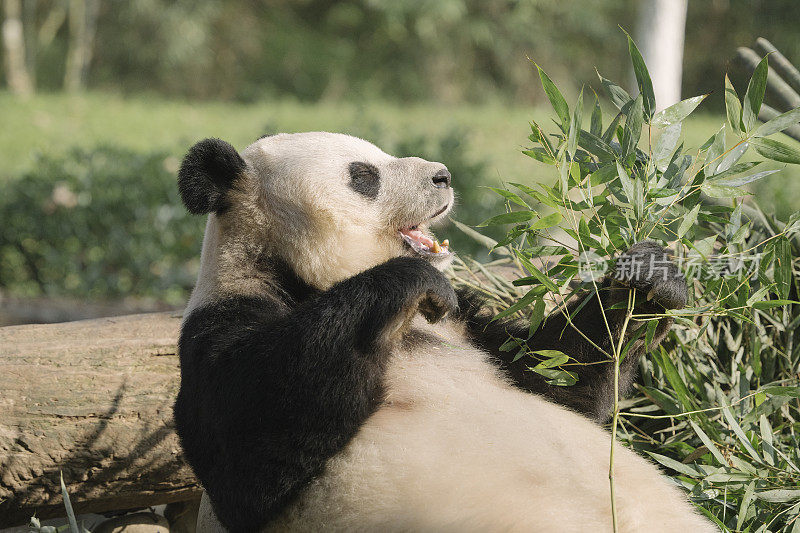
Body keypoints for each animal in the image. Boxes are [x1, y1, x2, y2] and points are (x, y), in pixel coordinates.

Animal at [173, 130, 712, 532]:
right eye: (363, 176)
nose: (443, 176)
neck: (302, 279)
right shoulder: (225, 321)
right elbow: (251, 454)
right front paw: (407, 279)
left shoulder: (465, 323)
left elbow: (560, 378)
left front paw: (648, 277)